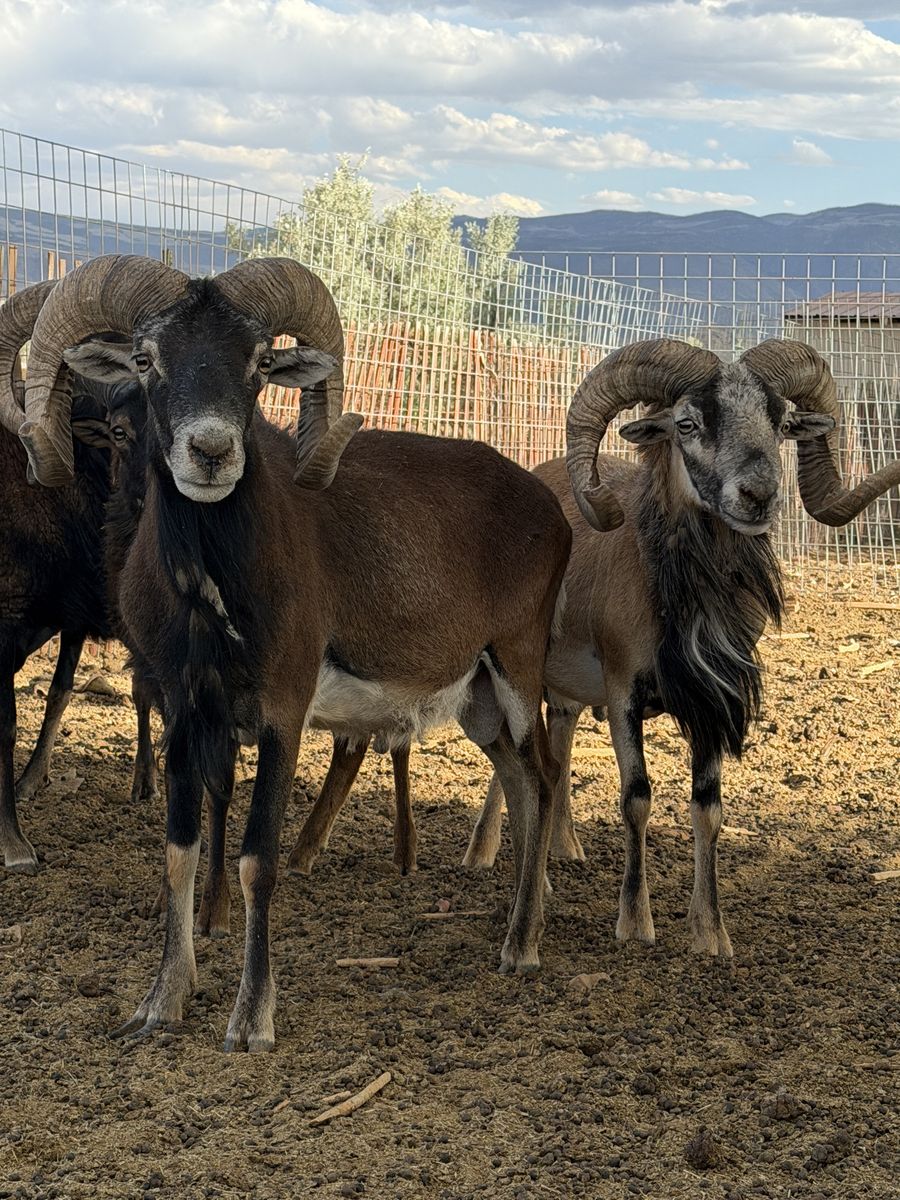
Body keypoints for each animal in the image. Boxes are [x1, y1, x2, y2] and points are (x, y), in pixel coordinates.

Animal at [20, 253, 571, 1052]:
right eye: (148, 359)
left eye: (257, 363)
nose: (211, 453)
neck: (213, 594)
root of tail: (553, 512)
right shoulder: (188, 712)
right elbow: (181, 850)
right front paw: (161, 1005)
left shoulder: (283, 711)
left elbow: (257, 860)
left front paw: (251, 1022)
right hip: (477, 704)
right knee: (524, 786)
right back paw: (514, 934)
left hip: (518, 672)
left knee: (545, 779)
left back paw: (523, 948)